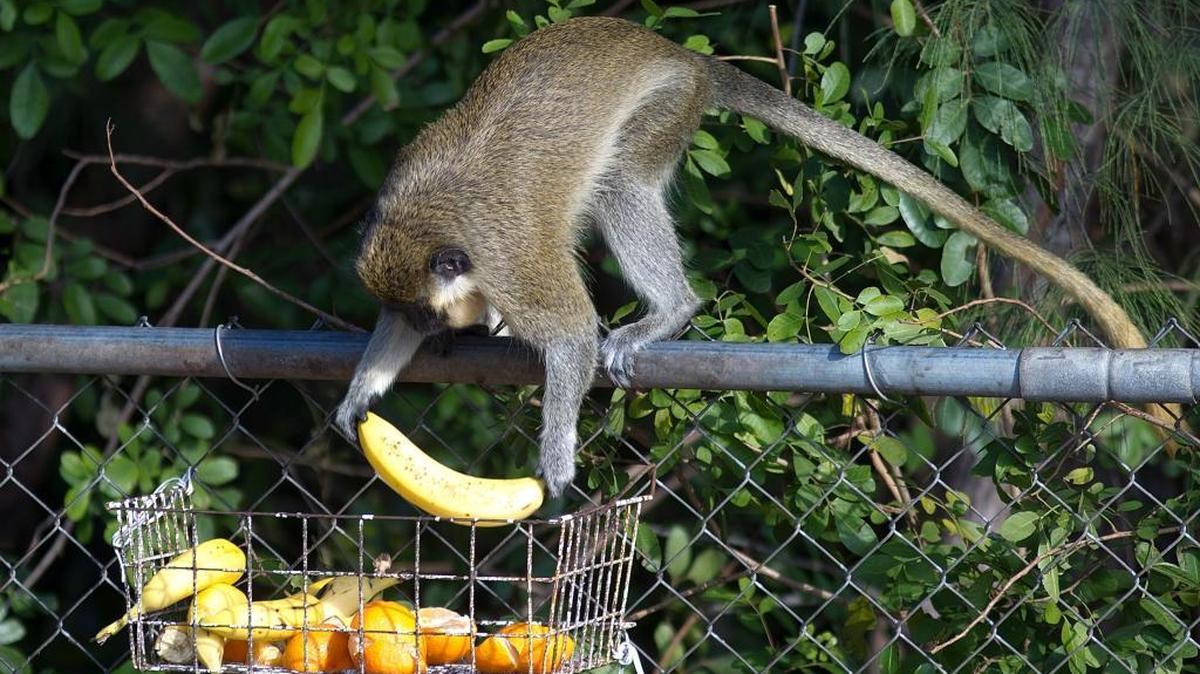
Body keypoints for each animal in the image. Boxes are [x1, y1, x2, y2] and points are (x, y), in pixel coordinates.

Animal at [335, 16, 1144, 497]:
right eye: (410, 317)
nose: (432, 332)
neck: (434, 215)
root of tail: (678, 54)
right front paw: (363, 391)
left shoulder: (510, 259)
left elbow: (569, 334)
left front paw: (556, 456)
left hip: (666, 106)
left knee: (623, 186)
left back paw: (668, 312)